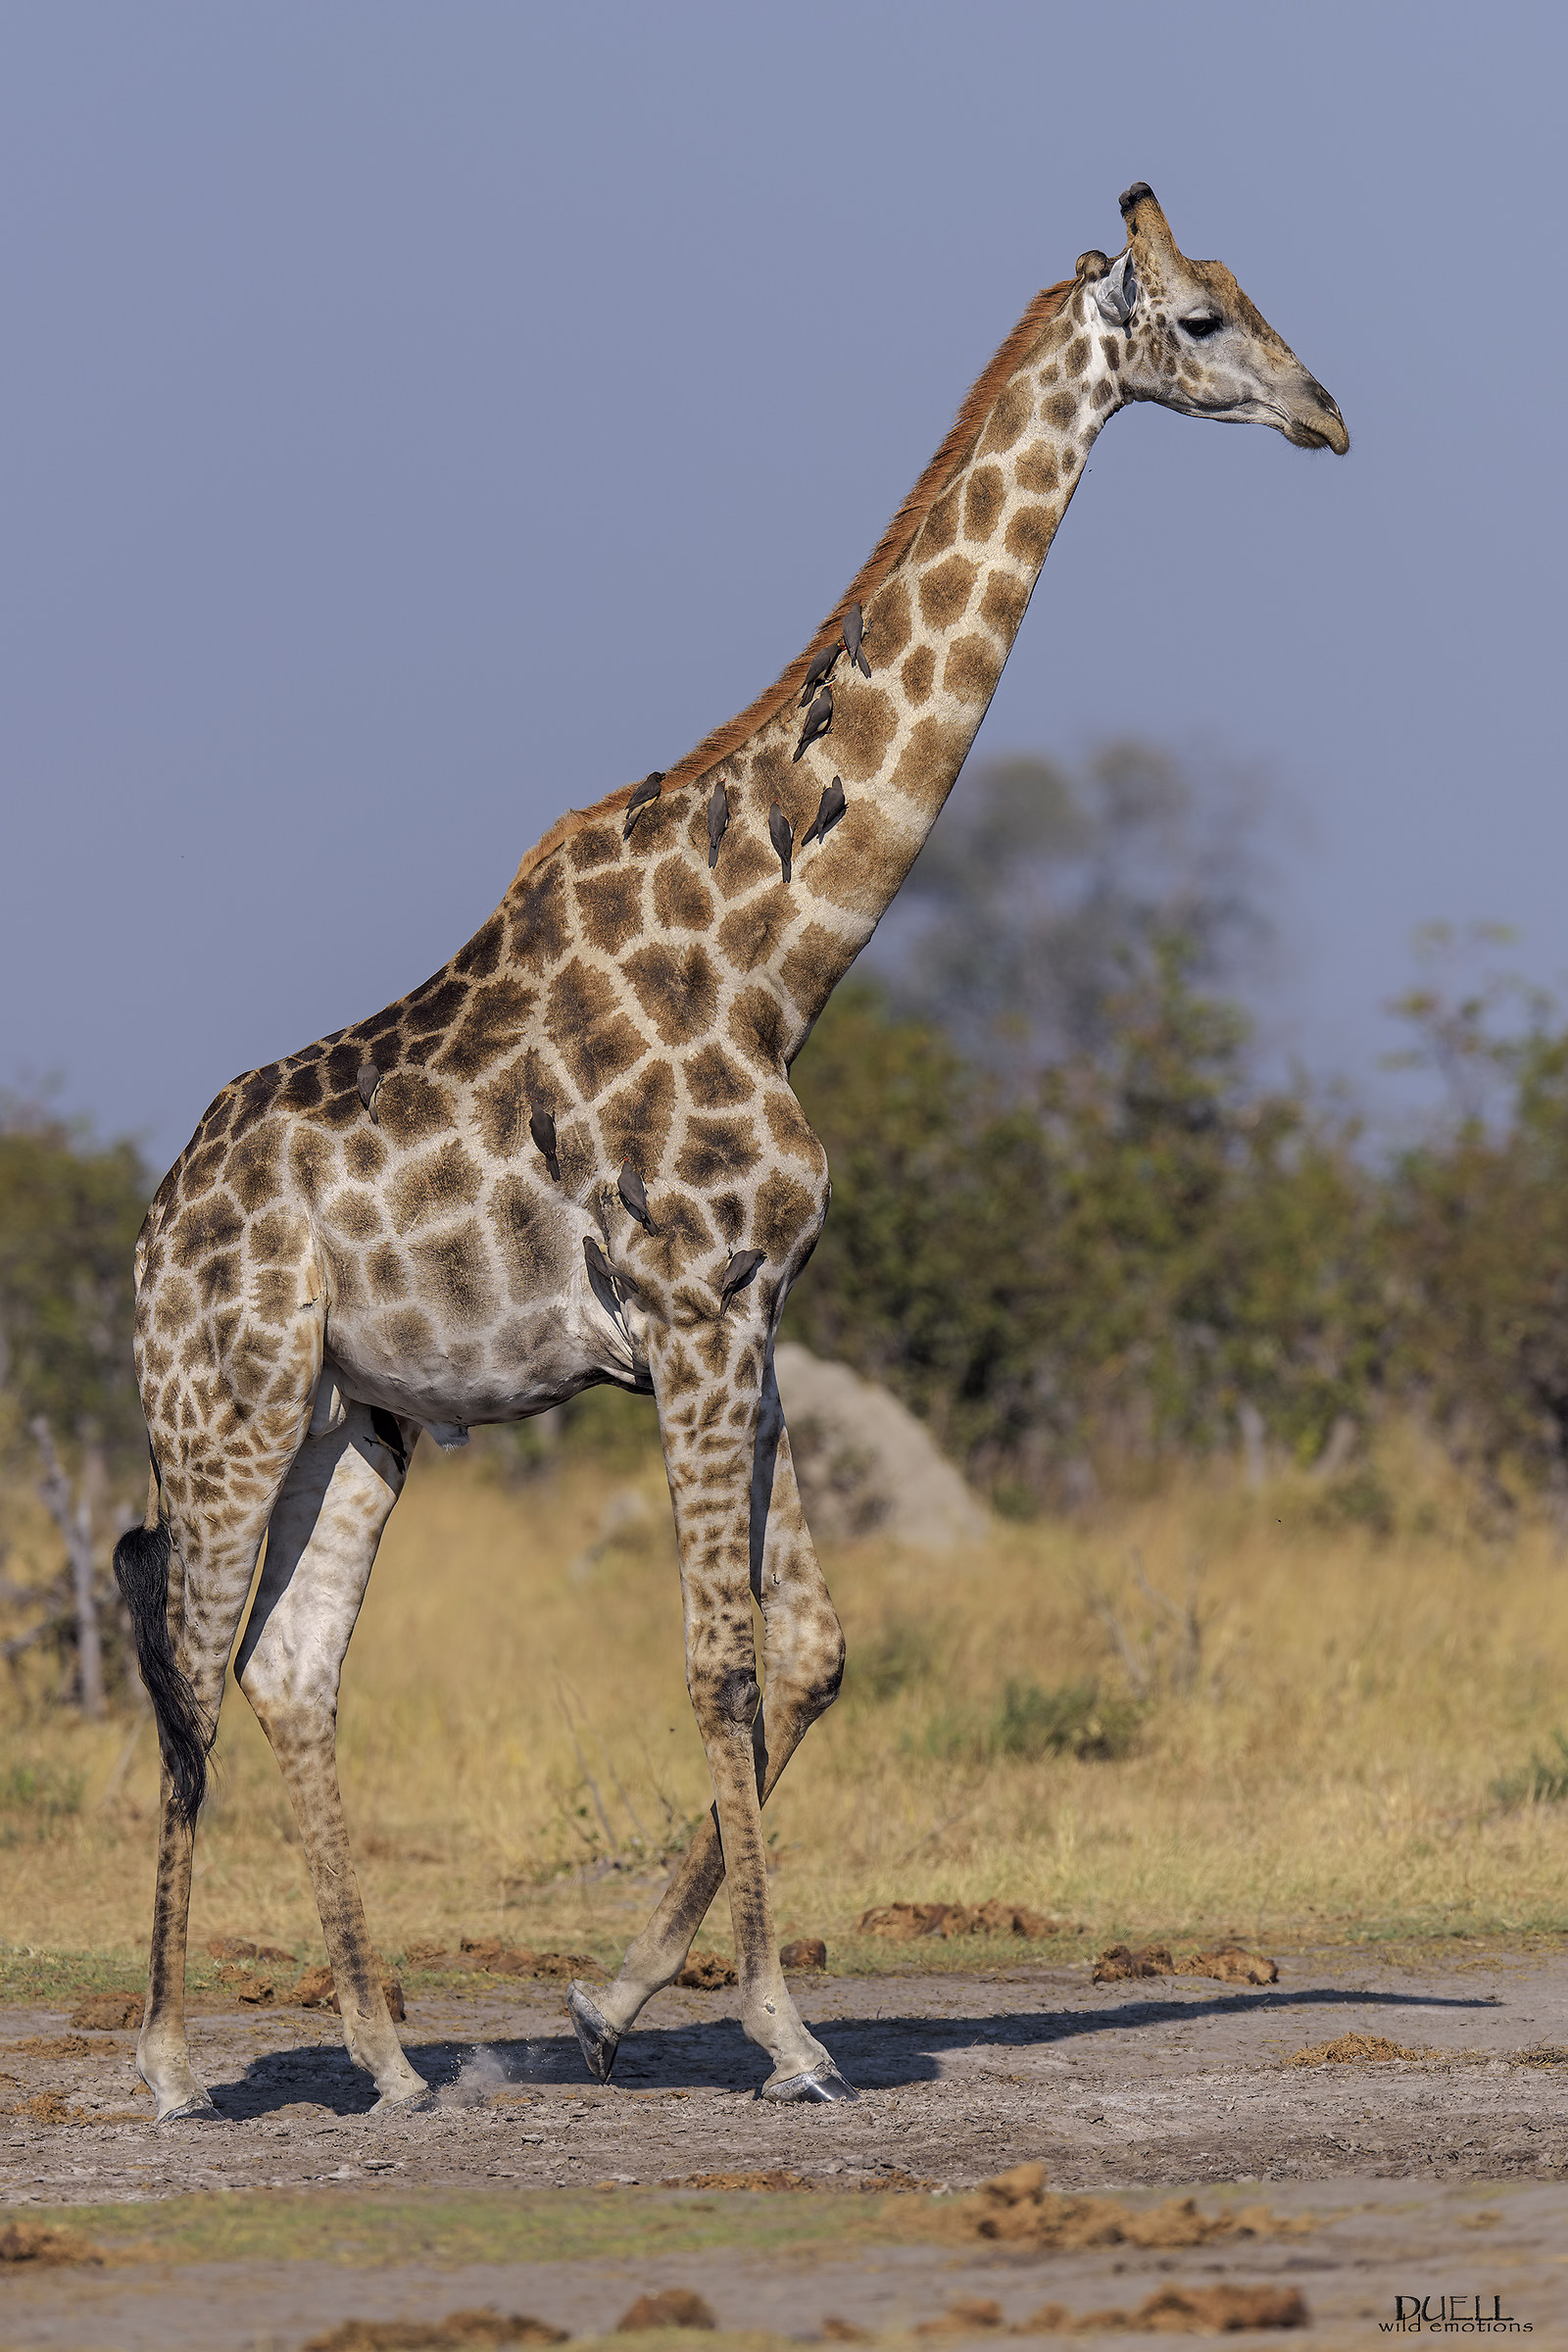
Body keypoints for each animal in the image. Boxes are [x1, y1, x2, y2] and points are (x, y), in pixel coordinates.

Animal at [112, 185, 1346, 2121]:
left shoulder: (753, 1319)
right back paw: (170, 2060)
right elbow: (716, 1663)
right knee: (184, 1651)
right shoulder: (693, 1314)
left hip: (356, 1417)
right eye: (1207, 319)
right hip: (221, 1403)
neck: (776, 963)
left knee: (293, 1670)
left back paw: (387, 2056)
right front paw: (782, 2030)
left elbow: (811, 1651)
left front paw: (607, 2002)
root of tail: (152, 1226)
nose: (1328, 414)